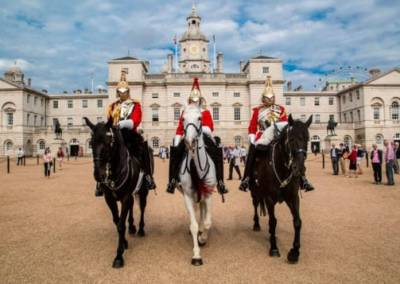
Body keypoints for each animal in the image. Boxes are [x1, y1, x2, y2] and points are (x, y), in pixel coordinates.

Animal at [83, 117, 149, 268]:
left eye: (109, 143)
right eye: (91, 143)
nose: (98, 175)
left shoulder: (125, 197)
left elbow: (120, 225)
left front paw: (119, 255)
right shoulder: (110, 198)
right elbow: (117, 221)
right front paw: (124, 243)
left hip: (143, 191)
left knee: (142, 208)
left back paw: (141, 229)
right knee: (132, 207)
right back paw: (132, 226)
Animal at [250, 113, 312, 264]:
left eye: (307, 139)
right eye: (291, 139)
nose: (299, 169)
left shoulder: (293, 197)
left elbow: (297, 222)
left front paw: (294, 252)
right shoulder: (269, 198)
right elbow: (273, 221)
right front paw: (274, 248)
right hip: (255, 192)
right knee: (255, 206)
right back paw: (257, 225)